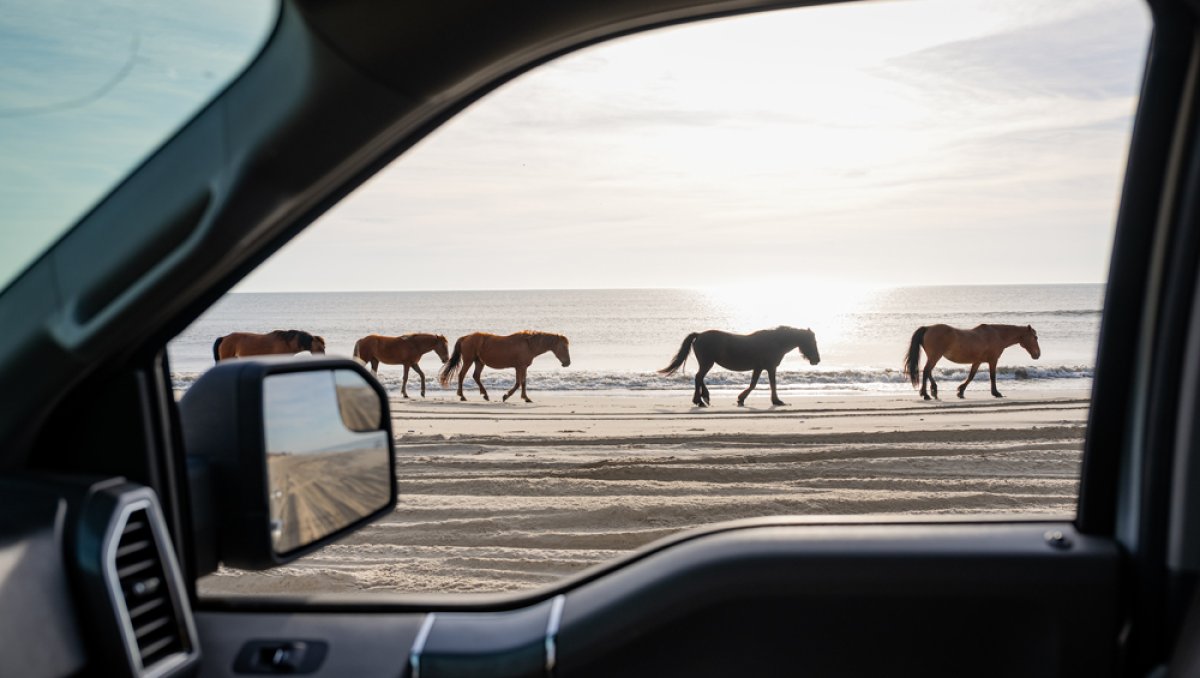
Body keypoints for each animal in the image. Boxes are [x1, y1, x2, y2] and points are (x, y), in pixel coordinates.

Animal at [441, 328, 571, 398]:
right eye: (564, 347)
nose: (568, 363)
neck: (528, 345)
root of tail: (465, 337)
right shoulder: (520, 367)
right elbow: (519, 383)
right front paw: (507, 396)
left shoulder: (522, 367)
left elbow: (522, 382)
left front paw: (525, 397)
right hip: (469, 360)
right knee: (461, 375)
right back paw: (462, 396)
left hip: (479, 362)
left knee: (476, 376)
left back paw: (485, 395)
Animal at [662, 324, 820, 405]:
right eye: (812, 342)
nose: (816, 360)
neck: (775, 342)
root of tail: (700, 335)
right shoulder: (770, 367)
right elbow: (769, 384)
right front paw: (776, 400)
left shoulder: (759, 367)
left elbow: (754, 384)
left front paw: (741, 398)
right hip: (707, 363)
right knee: (698, 377)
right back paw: (699, 400)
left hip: (707, 363)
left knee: (700, 378)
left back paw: (705, 397)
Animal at [902, 324, 1036, 398]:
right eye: (1035, 337)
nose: (1037, 354)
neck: (997, 335)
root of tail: (928, 328)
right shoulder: (993, 360)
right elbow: (992, 376)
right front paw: (996, 393)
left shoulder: (977, 361)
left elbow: (971, 376)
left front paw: (961, 391)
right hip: (935, 356)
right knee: (926, 371)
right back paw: (926, 394)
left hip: (933, 357)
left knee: (928, 371)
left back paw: (933, 389)